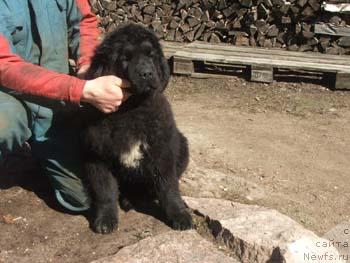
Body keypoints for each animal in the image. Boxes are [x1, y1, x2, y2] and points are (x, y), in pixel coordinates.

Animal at [80, 23, 193, 234]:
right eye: (126, 58)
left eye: (150, 55)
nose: (147, 73)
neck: (131, 108)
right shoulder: (96, 155)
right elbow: (105, 190)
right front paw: (105, 219)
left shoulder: (161, 150)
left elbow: (168, 186)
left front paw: (179, 214)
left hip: (182, 146)